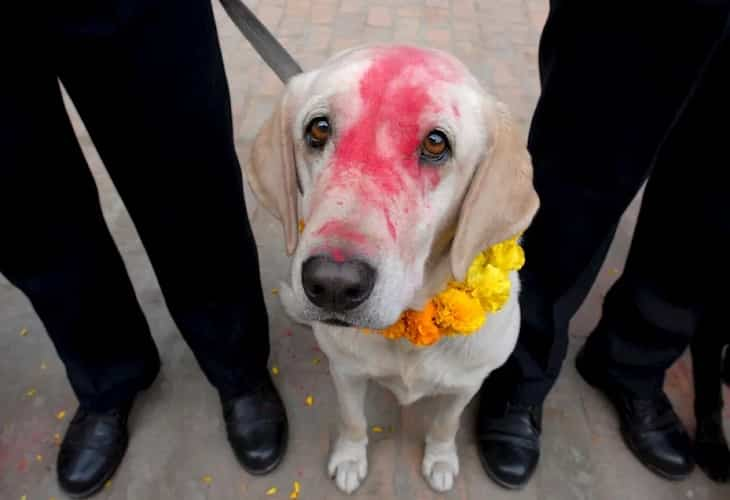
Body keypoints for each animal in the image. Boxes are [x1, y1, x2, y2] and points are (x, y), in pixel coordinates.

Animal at [247, 43, 536, 492]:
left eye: (435, 143)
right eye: (318, 129)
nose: (332, 284)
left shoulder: (467, 384)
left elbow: (445, 424)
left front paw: (440, 459)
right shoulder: (346, 372)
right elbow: (352, 421)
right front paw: (350, 458)